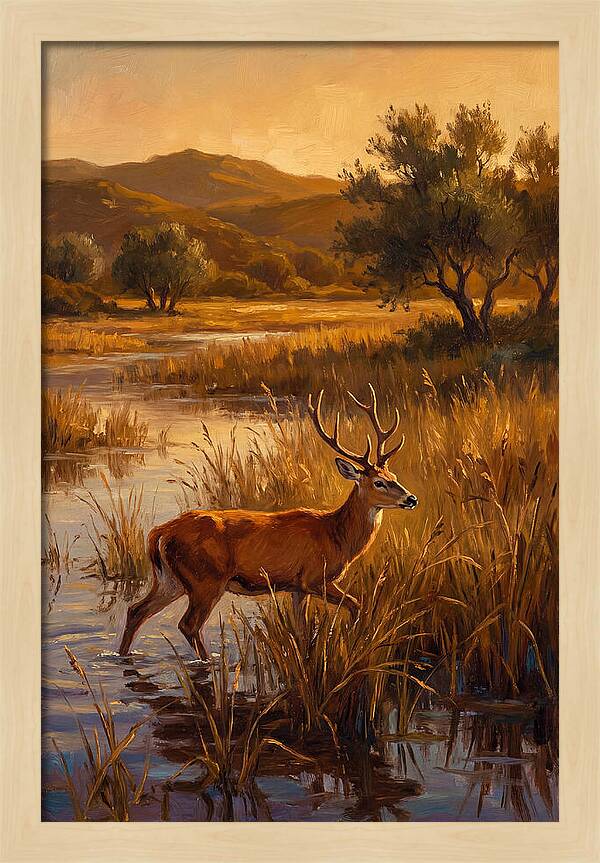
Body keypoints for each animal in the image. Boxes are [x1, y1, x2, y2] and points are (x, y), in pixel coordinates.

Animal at [118, 384, 418, 658]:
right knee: (188, 624)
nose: (412, 498)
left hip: (170, 580)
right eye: (379, 482)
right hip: (205, 579)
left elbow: (302, 630)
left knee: (136, 610)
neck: (336, 536)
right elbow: (356, 604)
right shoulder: (314, 578)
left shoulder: (297, 587)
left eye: (393, 475)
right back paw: (207, 663)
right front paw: (352, 637)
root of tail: (159, 533)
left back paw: (122, 655)